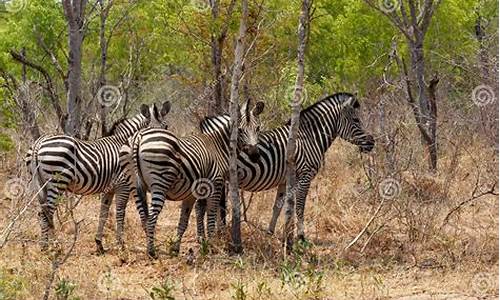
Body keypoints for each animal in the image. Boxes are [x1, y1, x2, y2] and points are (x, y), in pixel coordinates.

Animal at [27, 101, 172, 253]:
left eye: (166, 127)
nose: (157, 150)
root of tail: (39, 142)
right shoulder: (123, 185)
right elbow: (120, 213)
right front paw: (121, 244)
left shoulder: (110, 189)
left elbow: (103, 213)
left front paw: (99, 244)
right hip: (57, 182)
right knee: (47, 213)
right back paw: (50, 246)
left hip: (40, 184)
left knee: (43, 213)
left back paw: (50, 245)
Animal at [120, 99, 266, 258]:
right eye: (240, 130)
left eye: (258, 128)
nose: (255, 155)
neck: (218, 145)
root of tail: (139, 136)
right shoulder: (215, 184)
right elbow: (211, 215)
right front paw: (211, 245)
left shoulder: (193, 192)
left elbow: (186, 219)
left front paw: (178, 248)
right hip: (160, 183)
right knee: (152, 218)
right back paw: (152, 252)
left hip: (134, 184)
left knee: (143, 216)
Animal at [213, 91, 374, 241]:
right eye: (356, 120)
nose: (372, 142)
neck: (309, 138)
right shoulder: (305, 176)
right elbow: (300, 207)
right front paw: (301, 236)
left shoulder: (284, 180)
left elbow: (278, 207)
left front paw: (270, 233)